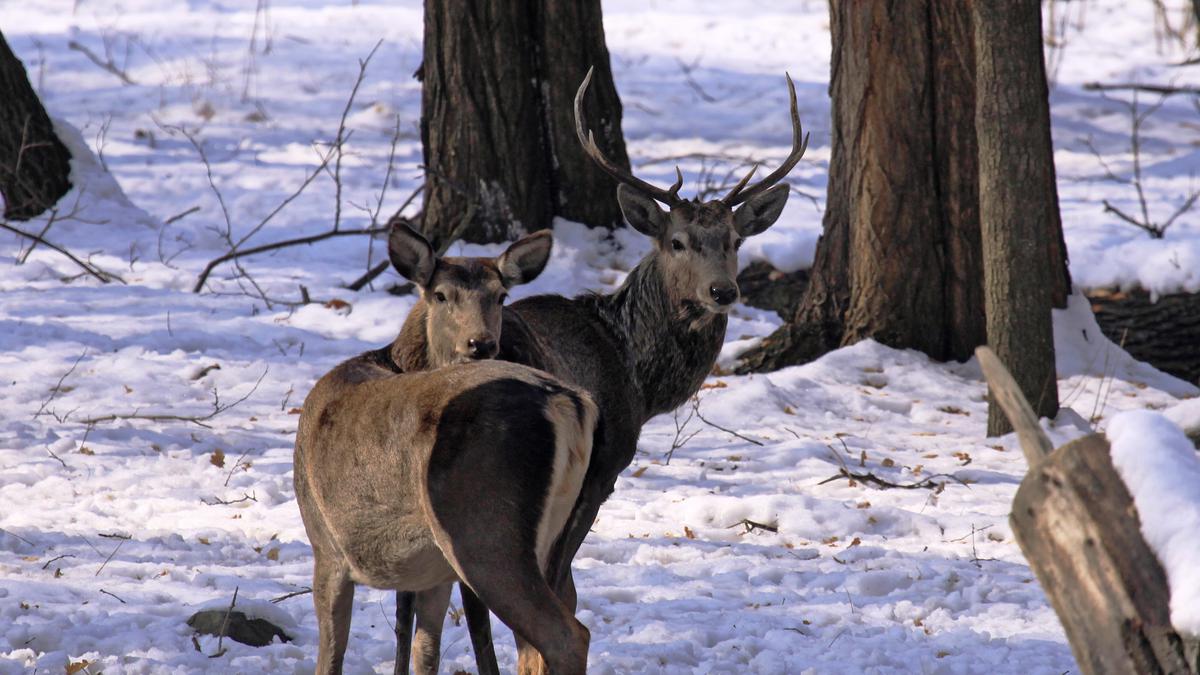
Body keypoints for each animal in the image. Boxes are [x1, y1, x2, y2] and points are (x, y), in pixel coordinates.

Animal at [290, 223, 595, 667]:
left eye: (501, 296)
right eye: (441, 294)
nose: (480, 344)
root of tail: (567, 401)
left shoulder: (326, 546)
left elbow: (331, 655)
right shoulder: (433, 572)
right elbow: (424, 648)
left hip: (481, 529)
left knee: (566, 635)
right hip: (548, 539)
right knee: (536, 641)